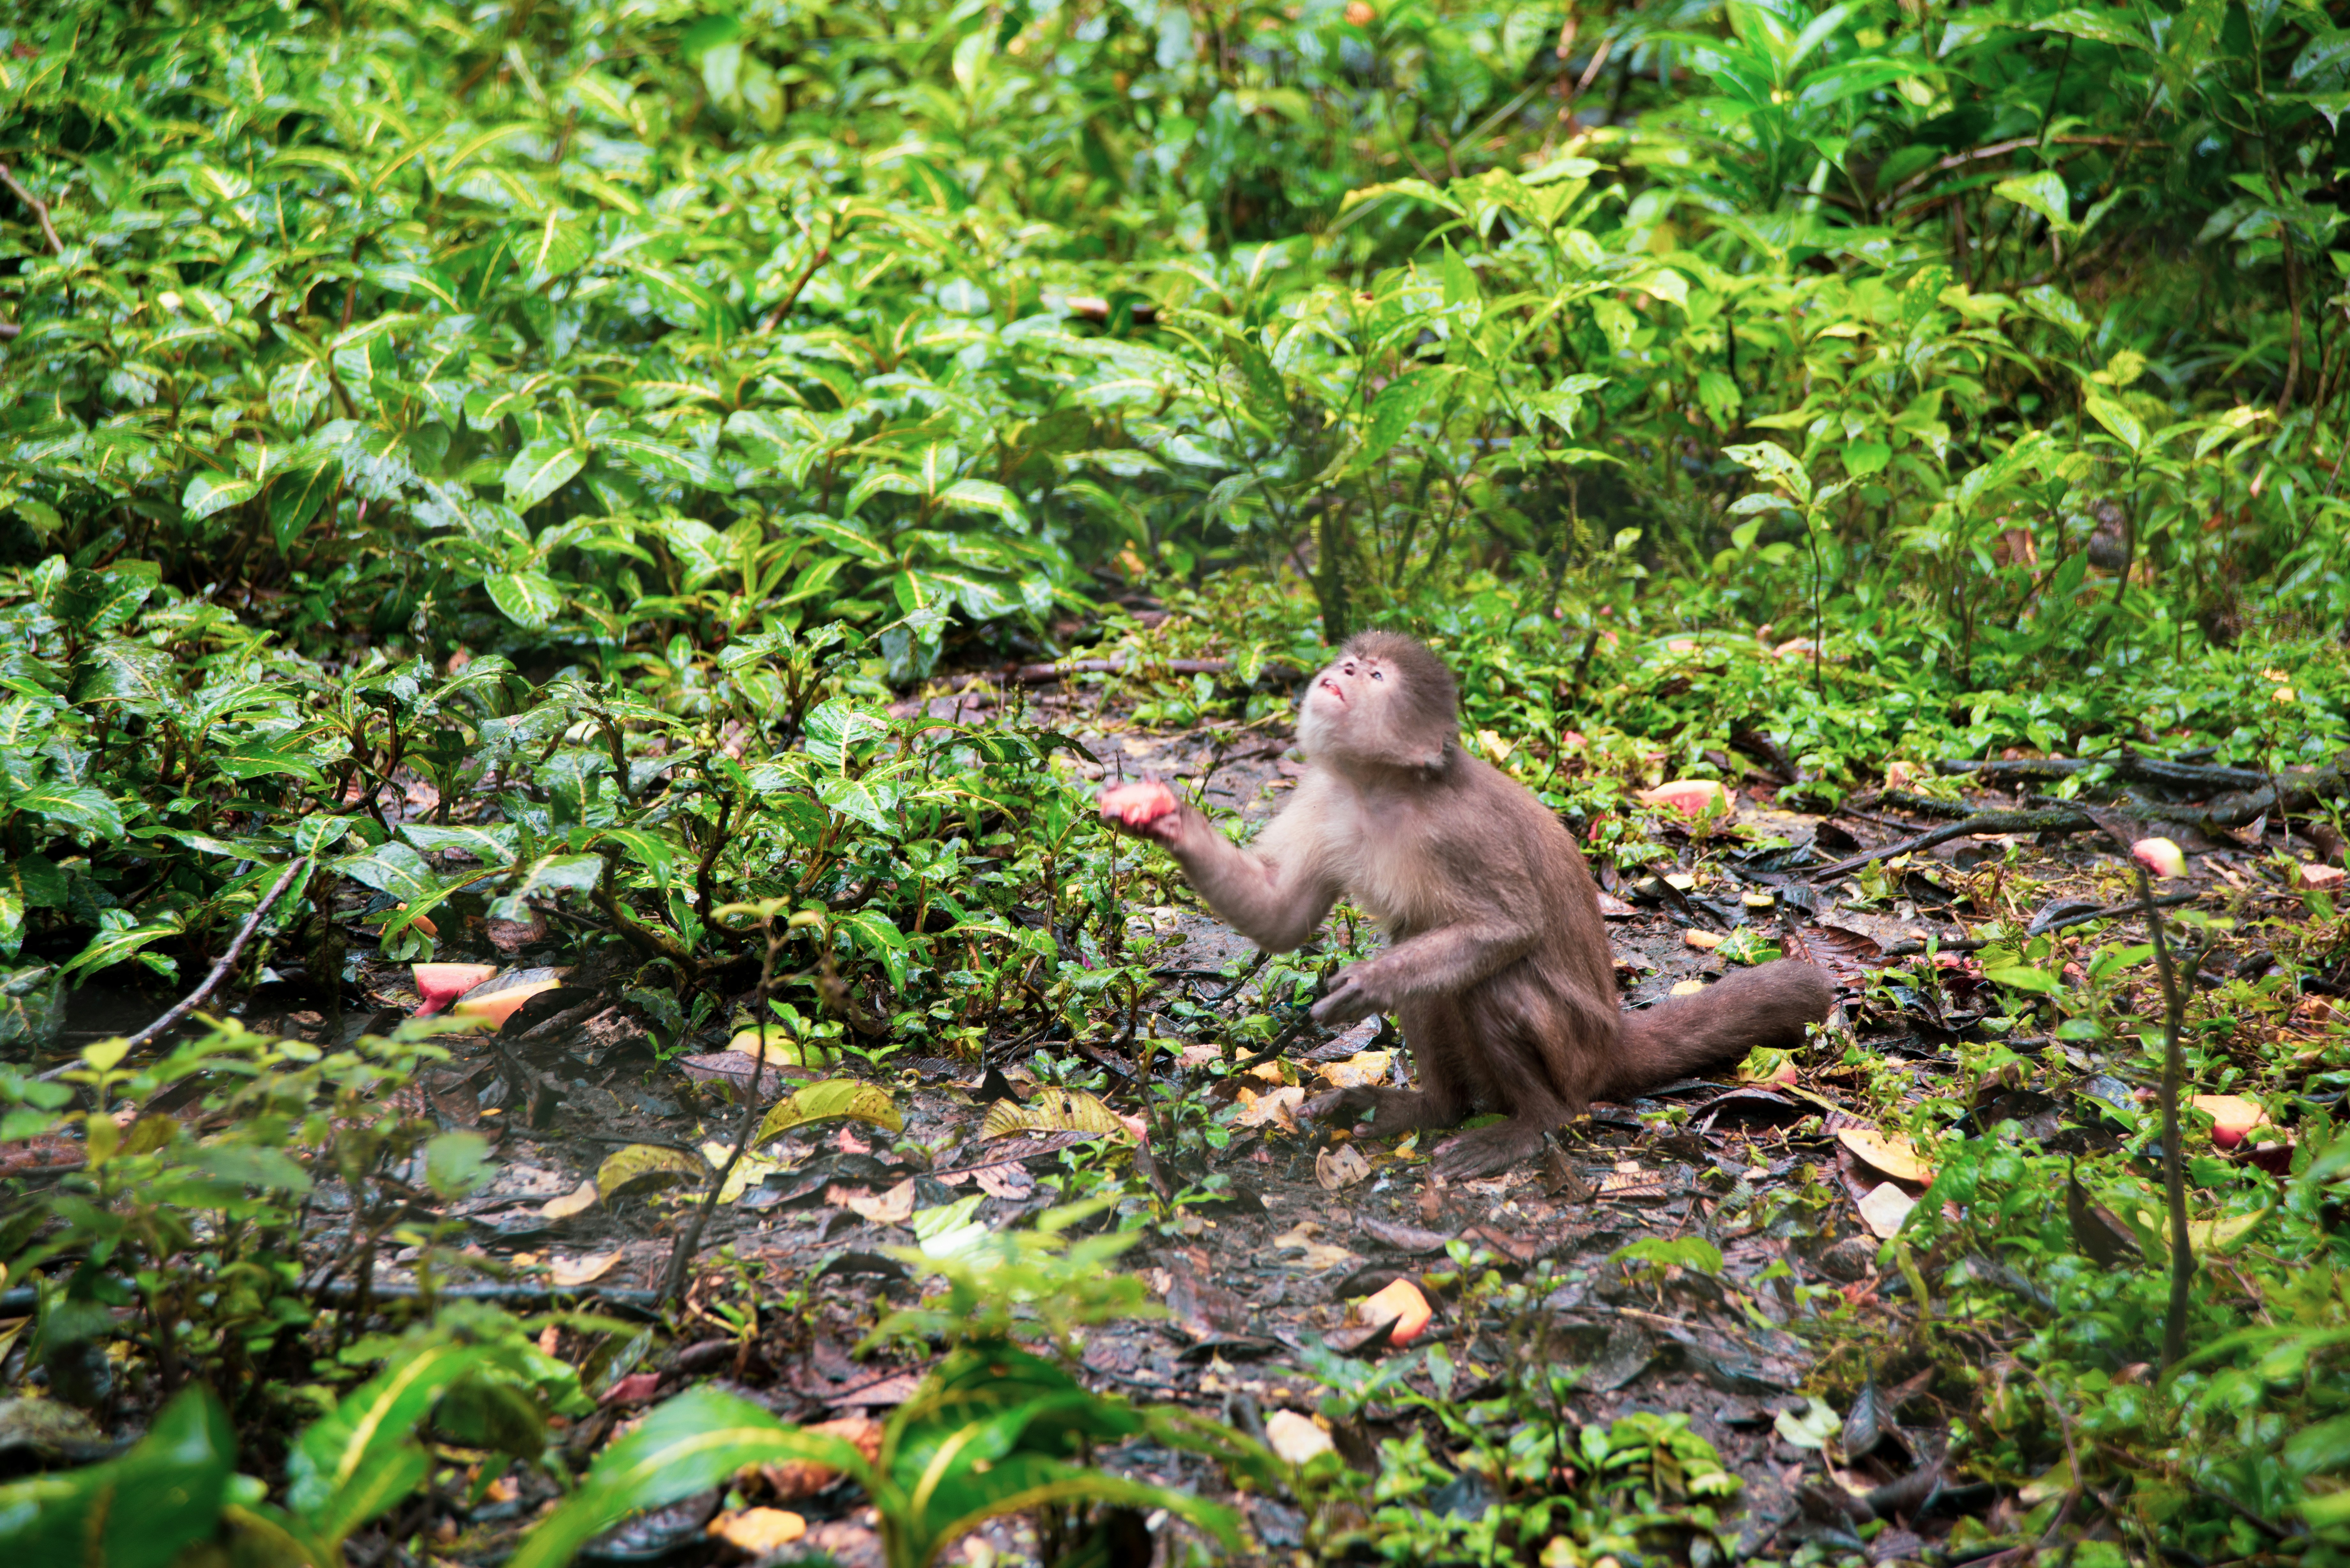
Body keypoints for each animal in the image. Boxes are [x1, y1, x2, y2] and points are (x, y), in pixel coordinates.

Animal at [1097, 630, 1834, 1180]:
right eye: (1353, 662)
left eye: (1375, 675)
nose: (1343, 669)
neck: (1383, 789)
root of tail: (1611, 1041)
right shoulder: (1326, 801)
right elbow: (1282, 918)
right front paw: (1165, 820)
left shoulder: (1459, 830)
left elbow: (1511, 928)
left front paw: (1367, 983)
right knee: (1433, 979)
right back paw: (1435, 1110)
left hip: (1577, 1052)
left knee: (1492, 981)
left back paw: (1533, 1122)